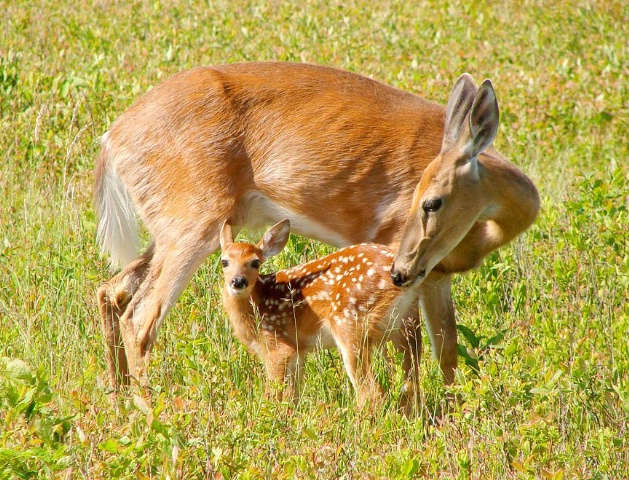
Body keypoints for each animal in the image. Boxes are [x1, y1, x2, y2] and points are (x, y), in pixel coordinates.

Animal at [95, 62, 536, 392]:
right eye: (419, 199)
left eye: (431, 201)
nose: (399, 269)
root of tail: (111, 139)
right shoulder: (407, 262)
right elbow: (413, 353)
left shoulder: (436, 274)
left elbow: (447, 350)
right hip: (193, 219)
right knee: (140, 317)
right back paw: (156, 411)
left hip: (179, 225)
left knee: (111, 289)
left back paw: (120, 398)